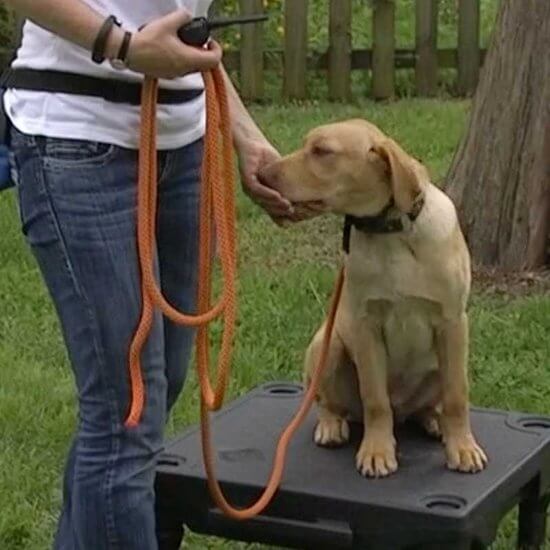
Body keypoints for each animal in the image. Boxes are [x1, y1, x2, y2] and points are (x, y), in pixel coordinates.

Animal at [260, 119, 490, 478]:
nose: (263, 174)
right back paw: (331, 426)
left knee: (429, 404)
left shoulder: (452, 321)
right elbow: (375, 400)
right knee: (330, 402)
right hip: (327, 346)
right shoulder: (366, 325)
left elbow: (457, 396)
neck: (392, 233)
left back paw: (433, 420)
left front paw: (463, 448)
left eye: (322, 151)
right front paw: (377, 451)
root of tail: (404, 409)